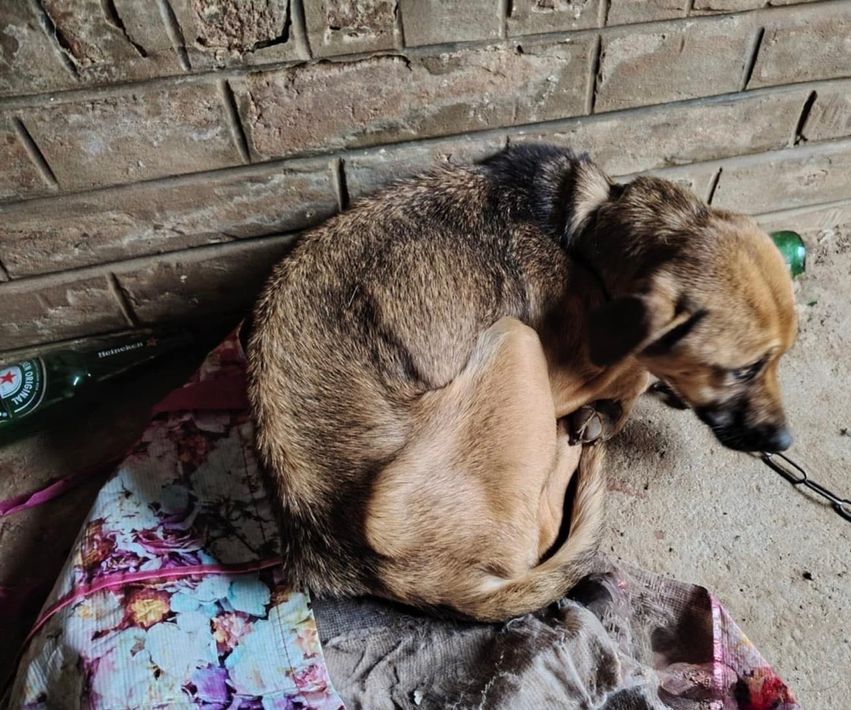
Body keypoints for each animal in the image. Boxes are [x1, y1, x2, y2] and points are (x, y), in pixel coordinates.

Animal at [247, 144, 797, 621]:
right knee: (546, 529)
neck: (592, 228)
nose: (784, 442)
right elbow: (637, 366)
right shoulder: (565, 368)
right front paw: (624, 401)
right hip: (514, 339)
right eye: (744, 369)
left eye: (780, 358)